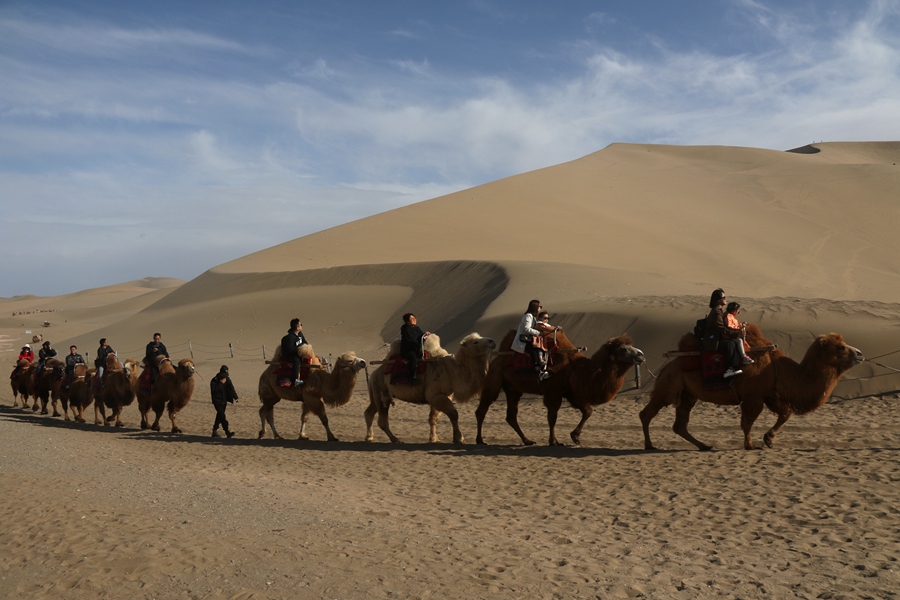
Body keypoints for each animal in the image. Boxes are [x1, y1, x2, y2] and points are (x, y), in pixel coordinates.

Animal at [364, 332, 496, 446]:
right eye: (475, 342)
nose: (492, 341)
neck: (452, 372)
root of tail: (375, 373)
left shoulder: (442, 396)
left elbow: (433, 419)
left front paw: (434, 439)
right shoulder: (436, 395)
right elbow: (453, 414)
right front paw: (459, 439)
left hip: (376, 392)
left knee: (369, 412)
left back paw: (369, 437)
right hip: (381, 391)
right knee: (382, 420)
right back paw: (395, 440)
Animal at [474, 330, 644, 448]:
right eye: (623, 349)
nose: (641, 355)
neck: (577, 370)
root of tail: (495, 359)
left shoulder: (571, 392)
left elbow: (587, 411)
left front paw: (575, 437)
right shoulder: (553, 392)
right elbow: (552, 417)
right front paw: (554, 441)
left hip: (513, 389)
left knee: (511, 415)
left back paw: (527, 440)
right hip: (494, 379)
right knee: (483, 408)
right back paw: (480, 440)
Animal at [640, 324, 864, 450]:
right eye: (840, 347)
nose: (860, 354)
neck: (778, 367)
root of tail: (667, 365)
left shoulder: (770, 394)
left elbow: (786, 413)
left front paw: (769, 439)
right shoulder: (753, 396)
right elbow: (747, 422)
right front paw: (750, 445)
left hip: (688, 394)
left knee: (680, 424)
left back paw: (704, 445)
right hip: (668, 386)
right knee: (647, 413)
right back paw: (649, 445)